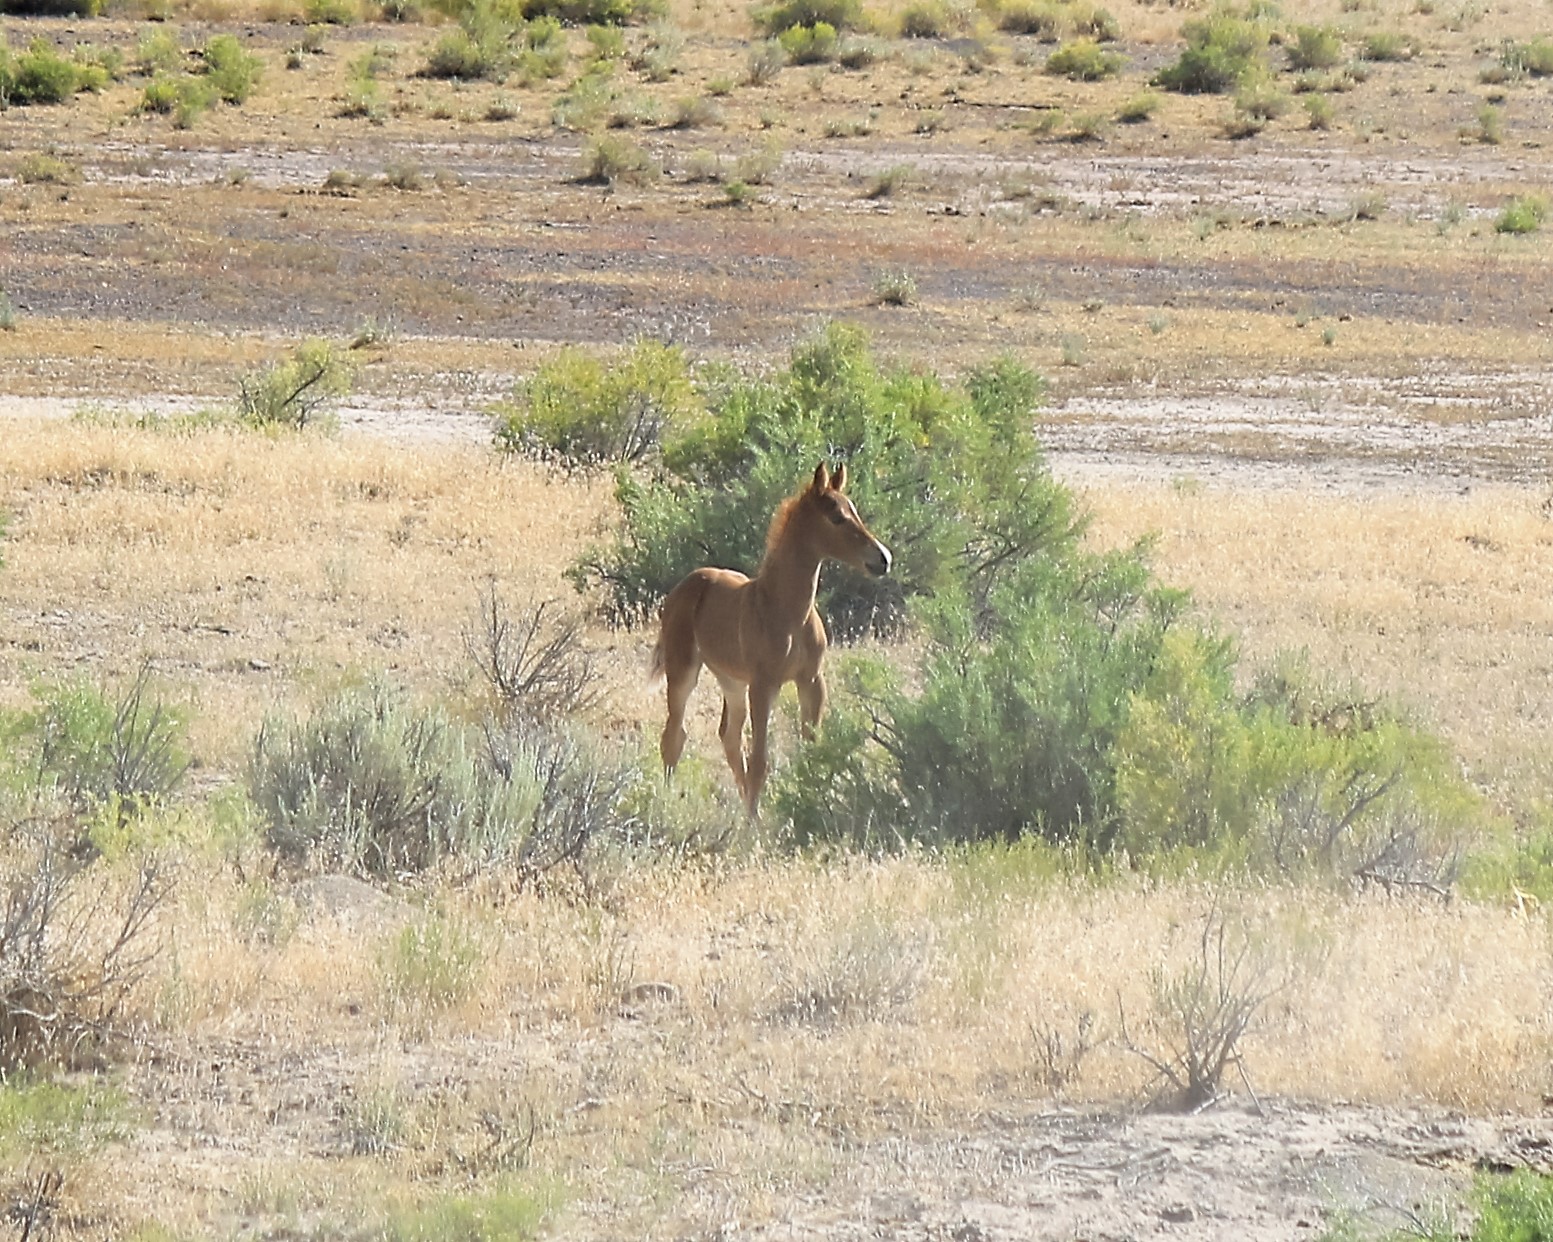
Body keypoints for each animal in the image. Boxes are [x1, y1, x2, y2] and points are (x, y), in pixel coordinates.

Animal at [652, 462, 894, 813]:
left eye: (855, 510)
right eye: (836, 517)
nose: (883, 559)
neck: (789, 612)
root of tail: (686, 584)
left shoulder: (811, 680)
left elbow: (812, 749)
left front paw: (812, 801)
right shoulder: (764, 684)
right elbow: (760, 760)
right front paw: (755, 822)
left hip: (731, 679)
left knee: (729, 736)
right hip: (682, 668)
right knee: (674, 735)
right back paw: (667, 801)